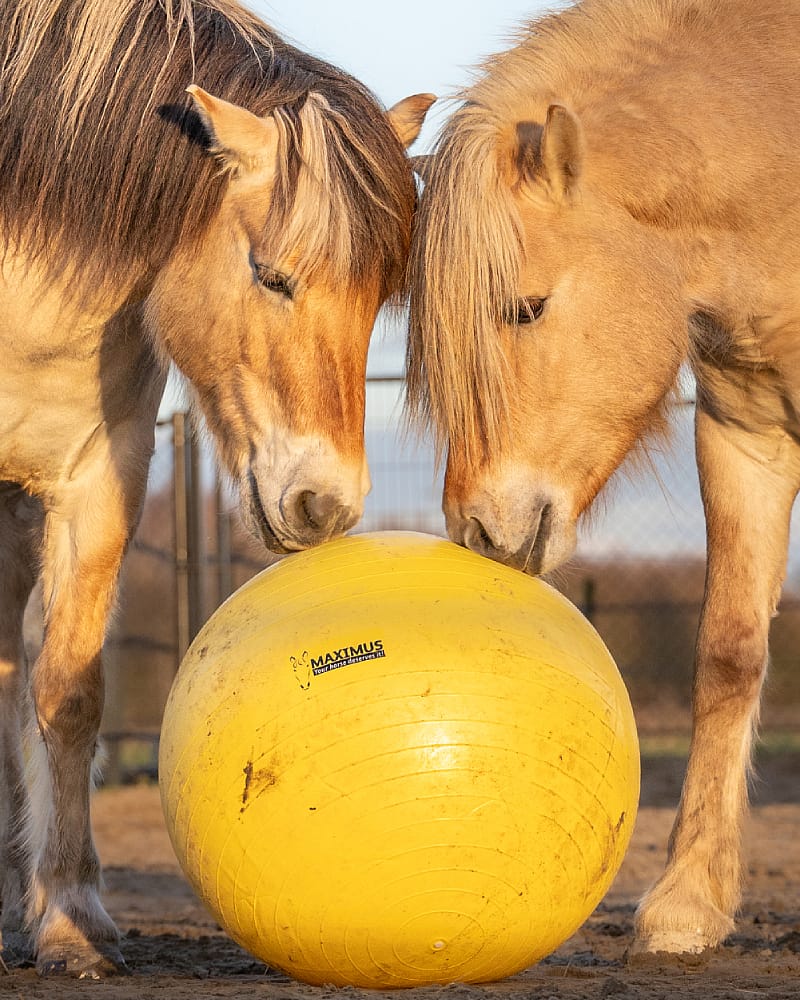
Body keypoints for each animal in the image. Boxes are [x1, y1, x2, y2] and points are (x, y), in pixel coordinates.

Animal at [0, 0, 433, 978]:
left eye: (380, 299)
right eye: (271, 275)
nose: (325, 506)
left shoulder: (99, 478)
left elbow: (68, 695)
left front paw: (70, 921)